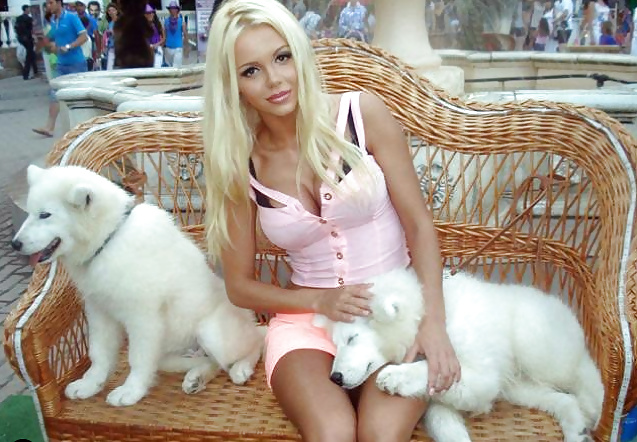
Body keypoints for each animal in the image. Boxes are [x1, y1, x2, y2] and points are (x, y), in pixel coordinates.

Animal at [12, 165, 264, 407]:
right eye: (30, 212)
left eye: (45, 215)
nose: (15, 244)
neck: (108, 241)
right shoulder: (99, 310)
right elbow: (99, 352)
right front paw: (90, 384)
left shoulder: (142, 317)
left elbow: (137, 358)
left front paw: (130, 392)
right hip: (172, 350)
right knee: (209, 361)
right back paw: (197, 377)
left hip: (212, 333)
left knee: (255, 342)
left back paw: (241, 368)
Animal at [313, 267, 603, 442]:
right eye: (336, 345)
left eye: (352, 338)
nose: (335, 378)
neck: (423, 325)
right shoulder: (449, 398)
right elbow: (447, 424)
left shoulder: (479, 372)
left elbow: (429, 369)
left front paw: (395, 376)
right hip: (519, 386)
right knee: (563, 399)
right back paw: (577, 430)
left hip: (536, 346)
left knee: (583, 369)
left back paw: (594, 405)